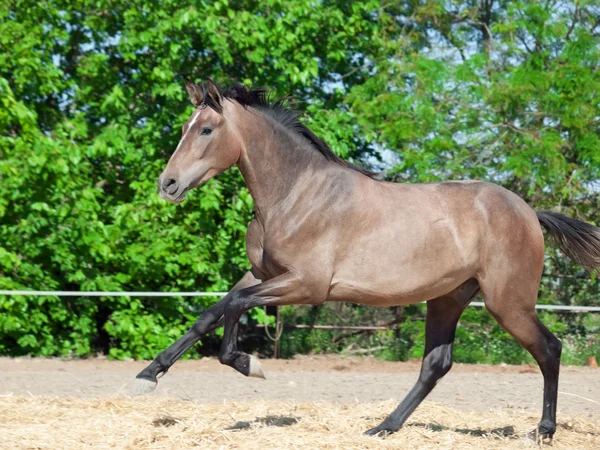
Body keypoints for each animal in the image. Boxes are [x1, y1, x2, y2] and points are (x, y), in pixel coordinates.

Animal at [134, 79, 600, 438]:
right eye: (185, 126)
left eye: (206, 129)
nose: (168, 184)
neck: (295, 195)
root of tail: (529, 212)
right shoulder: (262, 274)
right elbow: (210, 313)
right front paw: (148, 375)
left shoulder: (306, 286)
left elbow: (232, 306)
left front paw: (250, 365)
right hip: (448, 298)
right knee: (436, 364)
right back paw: (384, 427)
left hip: (507, 303)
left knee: (550, 349)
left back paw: (543, 430)